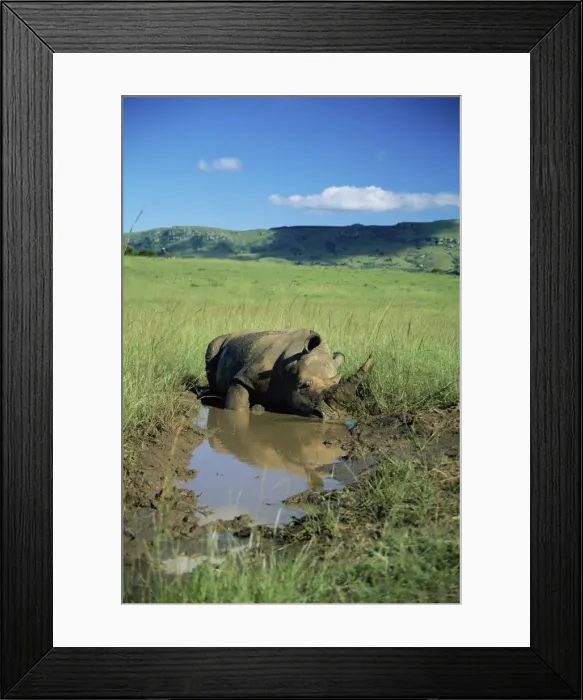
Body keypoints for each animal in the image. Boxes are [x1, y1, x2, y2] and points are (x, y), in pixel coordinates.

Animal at [204, 329, 373, 421]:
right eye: (305, 386)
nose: (333, 416)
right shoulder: (248, 376)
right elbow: (237, 404)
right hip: (223, 340)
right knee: (213, 346)